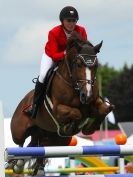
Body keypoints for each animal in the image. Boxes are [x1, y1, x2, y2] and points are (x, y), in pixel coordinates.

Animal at [8, 31, 114, 175]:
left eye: (96, 65)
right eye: (78, 64)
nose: (87, 95)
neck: (75, 85)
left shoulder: (94, 103)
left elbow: (104, 109)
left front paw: (89, 128)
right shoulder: (58, 109)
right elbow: (76, 112)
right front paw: (72, 126)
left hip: (53, 139)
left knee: (38, 146)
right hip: (18, 131)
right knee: (20, 144)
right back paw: (17, 164)